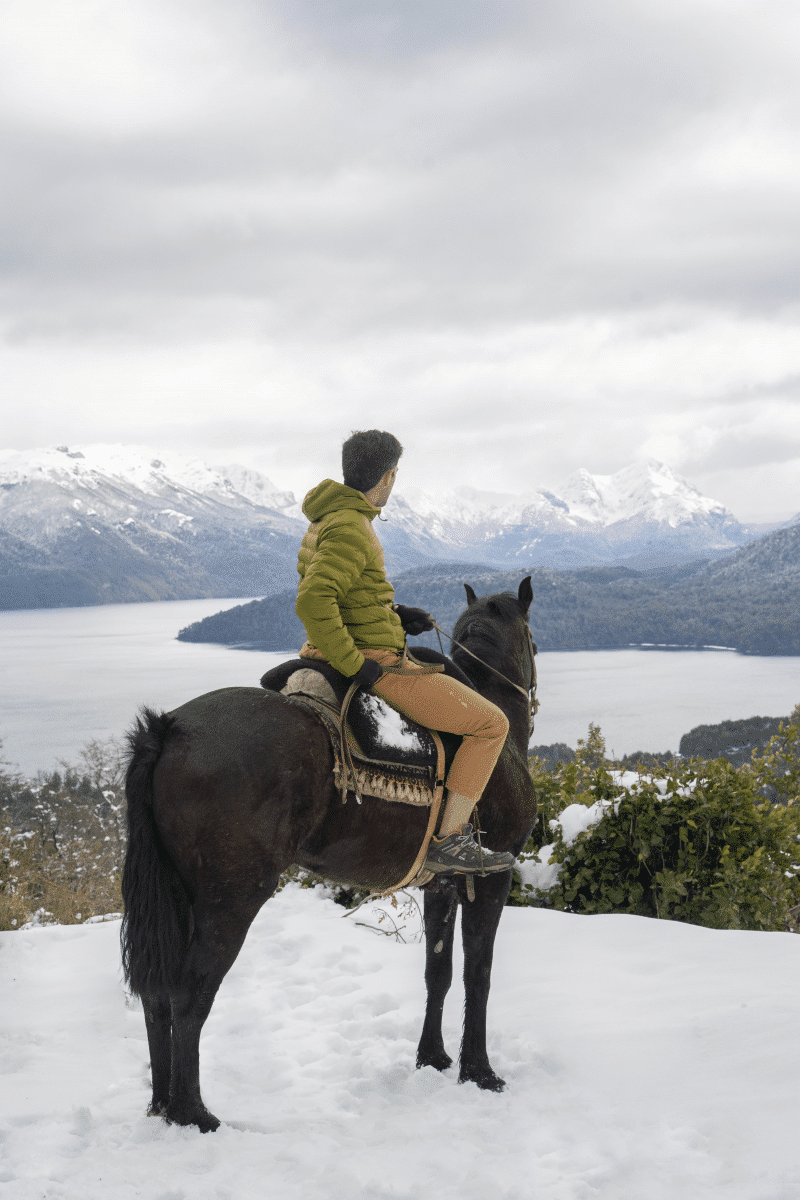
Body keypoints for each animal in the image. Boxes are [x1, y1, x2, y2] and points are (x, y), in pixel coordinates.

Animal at [120, 576, 537, 1128]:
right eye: (533, 641)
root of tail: (168, 731)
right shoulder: (493, 878)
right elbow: (478, 975)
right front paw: (479, 1071)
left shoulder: (441, 885)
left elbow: (439, 972)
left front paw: (433, 1057)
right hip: (229, 900)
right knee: (189, 995)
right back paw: (194, 1114)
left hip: (177, 896)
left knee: (157, 995)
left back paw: (162, 1105)